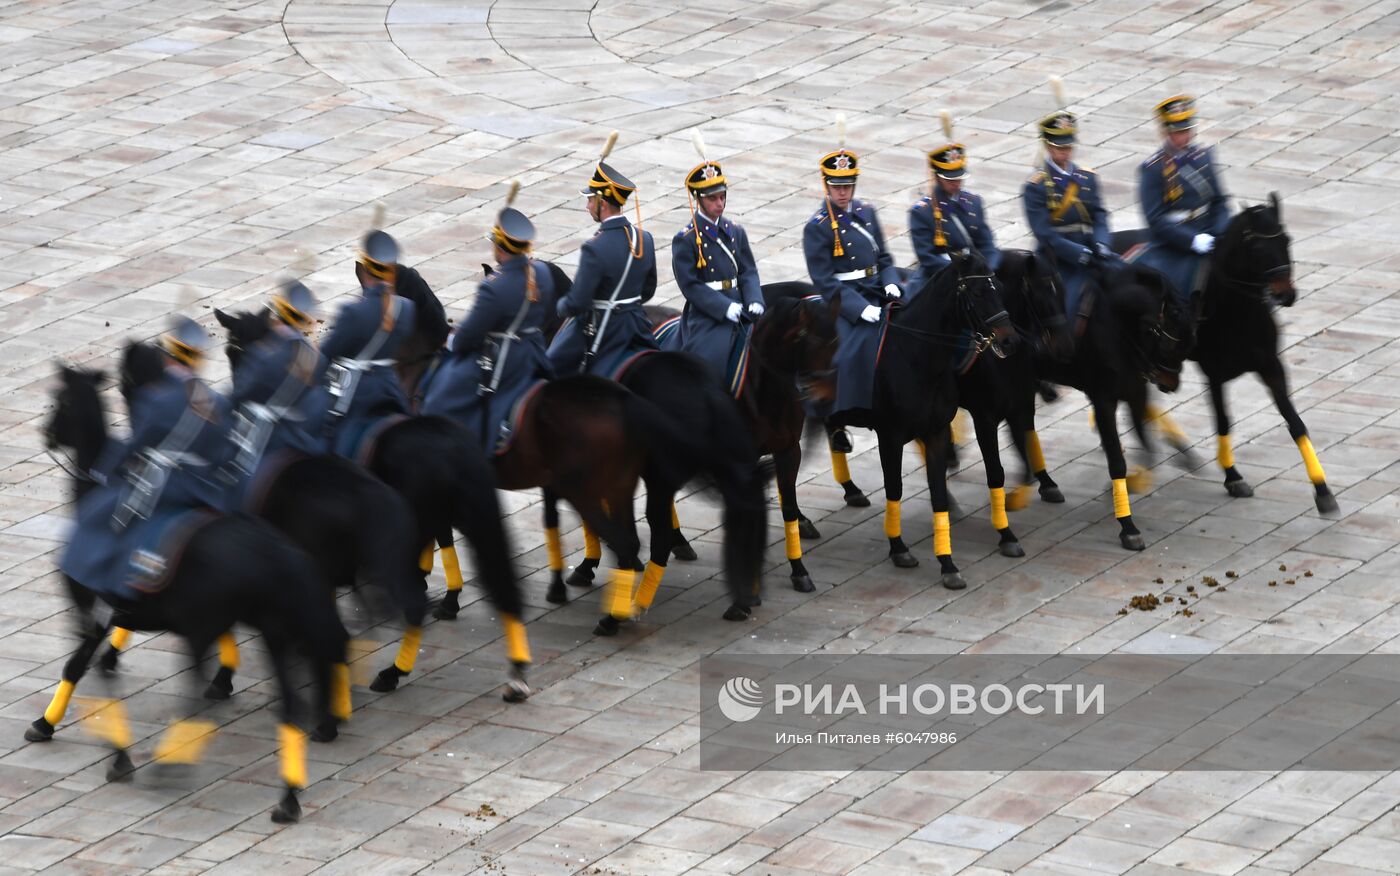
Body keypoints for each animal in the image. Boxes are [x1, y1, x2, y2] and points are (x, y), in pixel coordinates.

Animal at [39, 363, 336, 822]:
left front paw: (91, 742)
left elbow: (76, 667)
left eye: (62, 401)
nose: (47, 434)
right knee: (289, 704)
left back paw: (173, 763)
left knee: (195, 696)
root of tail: (275, 552)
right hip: (273, 631)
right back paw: (288, 797)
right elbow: (89, 666)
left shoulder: (91, 609)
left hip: (205, 629)